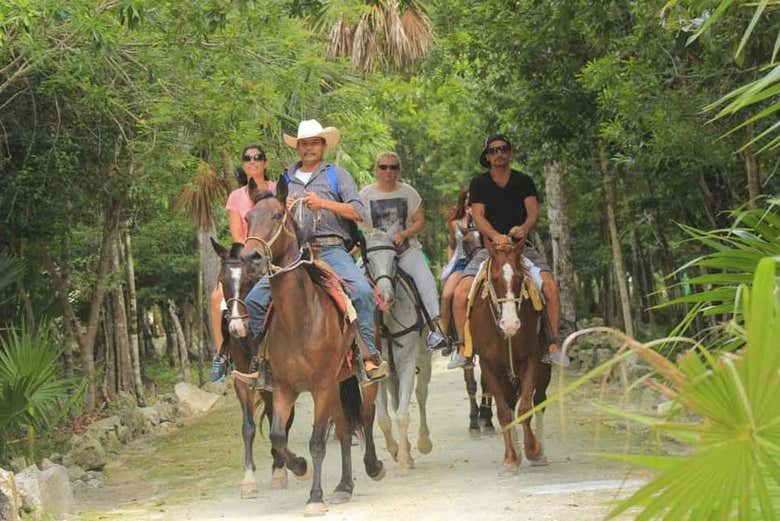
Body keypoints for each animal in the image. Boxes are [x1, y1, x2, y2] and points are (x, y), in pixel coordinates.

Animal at [209, 240, 298, 496]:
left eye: (251, 280)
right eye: (223, 281)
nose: (236, 328)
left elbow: (281, 422)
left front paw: (280, 469)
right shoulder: (241, 379)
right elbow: (248, 427)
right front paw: (248, 478)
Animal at [364, 230, 436, 470]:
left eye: (395, 258)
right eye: (368, 260)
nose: (385, 297)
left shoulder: (406, 364)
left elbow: (403, 415)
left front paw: (404, 460)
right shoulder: (378, 373)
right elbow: (384, 418)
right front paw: (397, 452)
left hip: (424, 359)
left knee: (421, 394)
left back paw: (423, 443)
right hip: (391, 374)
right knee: (395, 403)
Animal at [470, 239, 548, 472]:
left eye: (520, 277)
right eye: (494, 279)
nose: (511, 324)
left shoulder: (531, 359)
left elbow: (525, 408)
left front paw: (533, 449)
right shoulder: (489, 365)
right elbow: (505, 412)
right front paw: (511, 457)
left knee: (540, 400)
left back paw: (540, 453)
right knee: (510, 404)